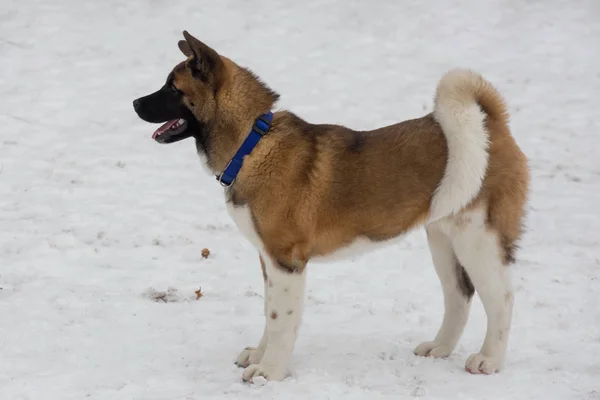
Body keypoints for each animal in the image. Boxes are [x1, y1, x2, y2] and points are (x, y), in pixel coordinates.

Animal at [132, 30, 528, 382]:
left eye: (173, 88)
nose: (134, 103)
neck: (252, 144)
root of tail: (492, 126)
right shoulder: (269, 260)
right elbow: (269, 312)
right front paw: (260, 357)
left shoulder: (286, 262)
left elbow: (280, 319)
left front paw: (269, 372)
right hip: (442, 239)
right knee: (459, 295)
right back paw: (440, 348)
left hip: (477, 238)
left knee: (503, 299)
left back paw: (489, 360)